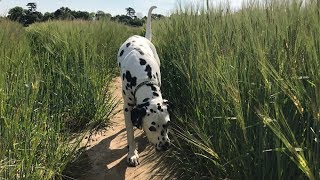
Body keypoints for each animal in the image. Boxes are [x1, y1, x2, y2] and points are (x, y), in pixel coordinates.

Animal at [117, 5, 172, 167]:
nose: (165, 146)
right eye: (152, 127)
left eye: (167, 124)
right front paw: (132, 153)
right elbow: (130, 131)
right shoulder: (127, 108)